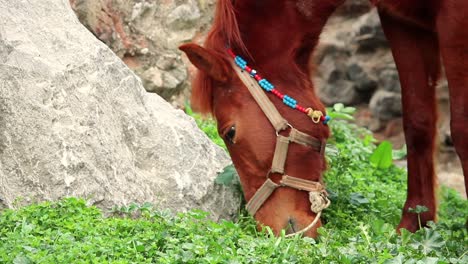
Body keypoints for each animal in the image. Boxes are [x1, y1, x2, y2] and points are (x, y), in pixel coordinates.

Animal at [178, 0, 464, 237]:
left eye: (230, 133)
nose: (269, 229)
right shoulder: (401, 21)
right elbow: (417, 122)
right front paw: (413, 224)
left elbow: (461, 131)